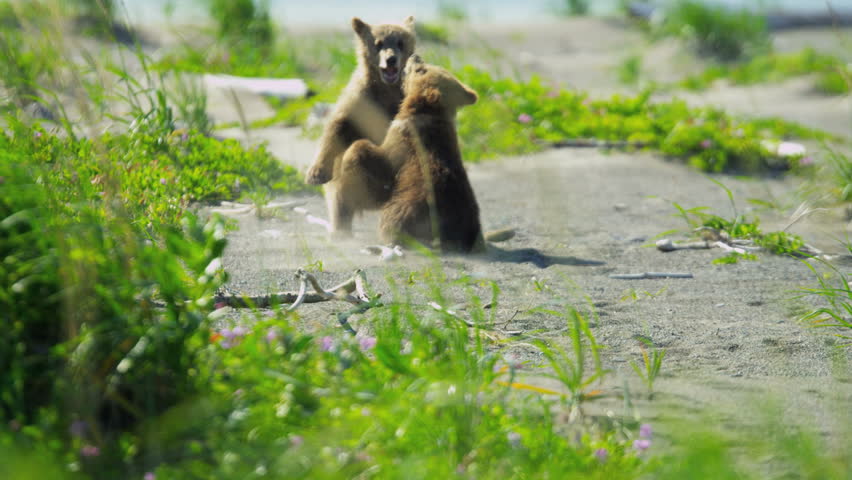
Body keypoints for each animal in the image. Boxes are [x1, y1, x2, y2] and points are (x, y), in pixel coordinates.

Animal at [303, 16, 416, 235]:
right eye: (378, 43)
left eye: (400, 42)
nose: (391, 59)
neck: (385, 90)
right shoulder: (360, 101)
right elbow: (336, 128)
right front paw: (316, 173)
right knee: (341, 200)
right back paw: (340, 229)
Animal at [339, 54, 485, 253]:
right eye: (429, 66)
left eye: (421, 70)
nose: (416, 56)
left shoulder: (401, 143)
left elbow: (378, 162)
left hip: (405, 208)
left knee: (391, 222)